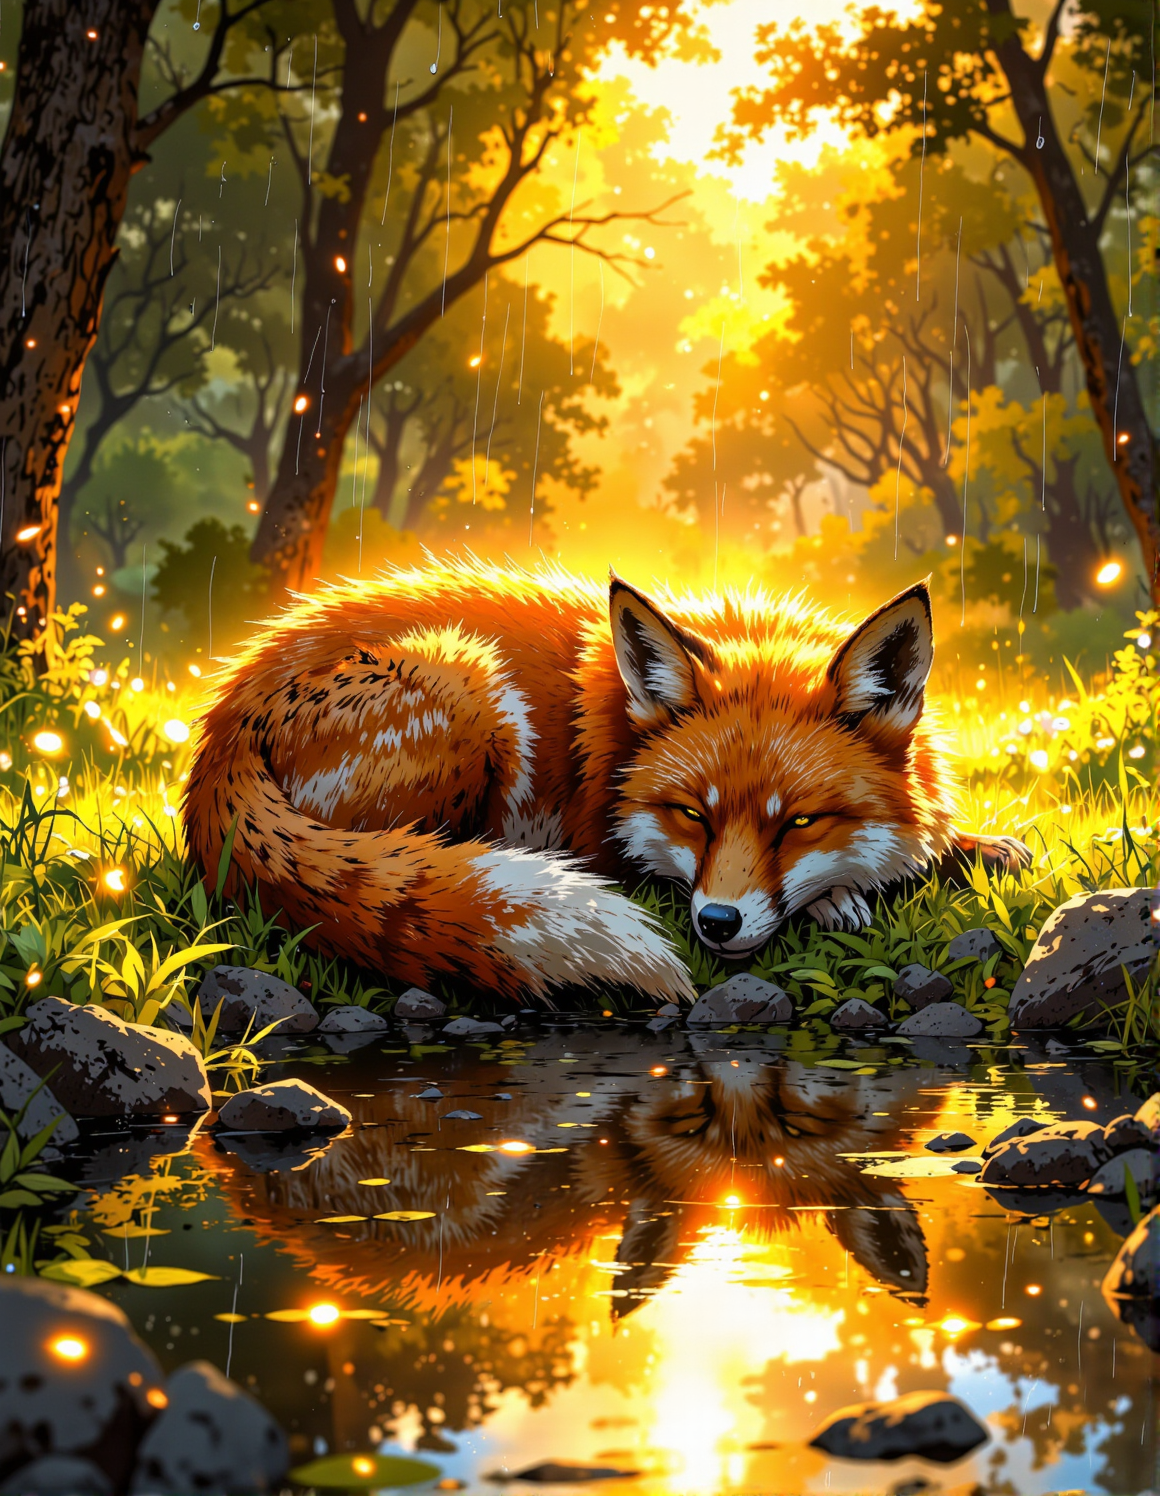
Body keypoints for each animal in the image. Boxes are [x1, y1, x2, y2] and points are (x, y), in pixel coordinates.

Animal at [184, 560, 1029, 1005]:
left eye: (798, 823)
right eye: (693, 814)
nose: (716, 923)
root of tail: (228, 715)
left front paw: (982, 847)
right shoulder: (602, 838)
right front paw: (837, 899)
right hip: (473, 689)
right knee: (397, 848)